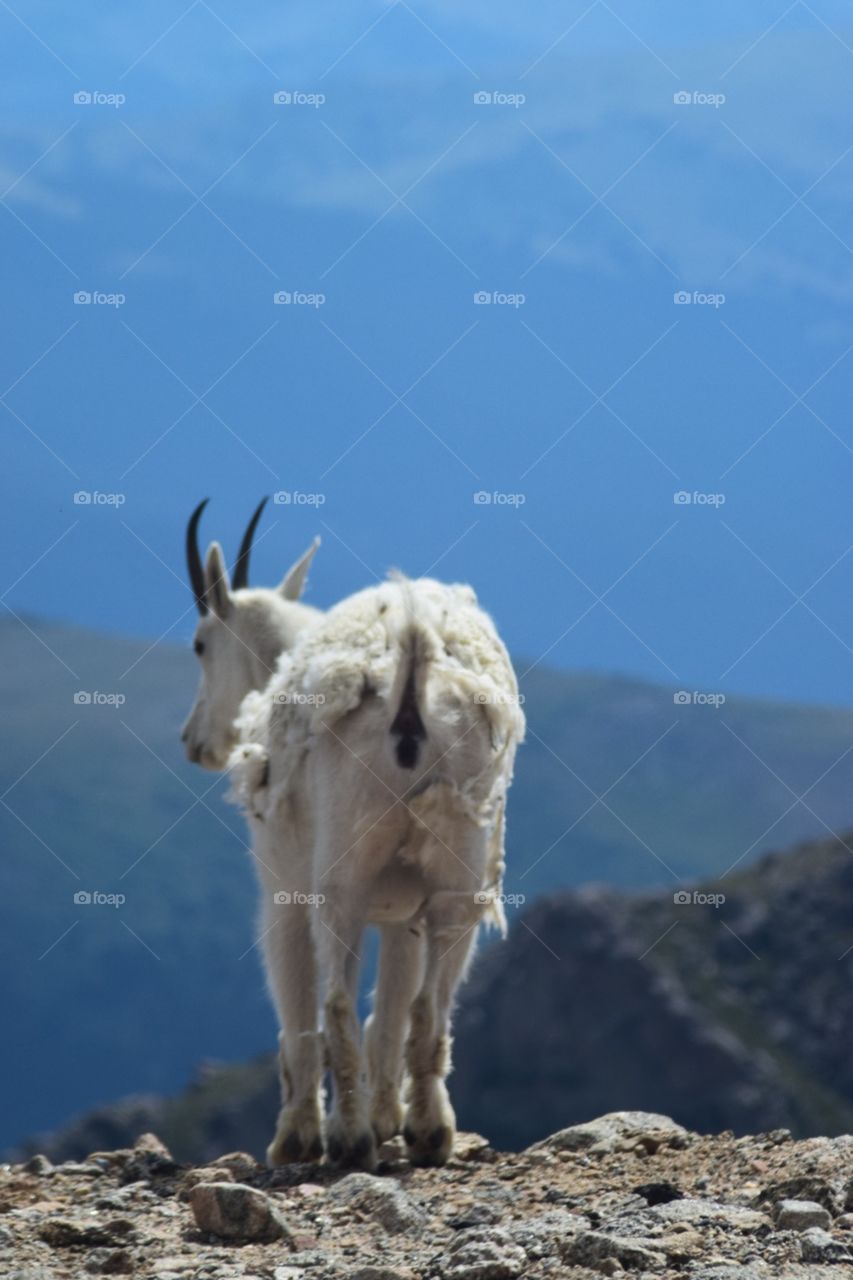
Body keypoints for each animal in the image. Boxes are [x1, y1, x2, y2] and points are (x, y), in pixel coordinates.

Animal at [182, 503, 525, 1171]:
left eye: (200, 644)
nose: (194, 741)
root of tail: (410, 670)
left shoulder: (283, 892)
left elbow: (298, 1010)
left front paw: (295, 1137)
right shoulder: (401, 912)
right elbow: (389, 1012)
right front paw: (388, 1117)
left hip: (339, 877)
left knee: (336, 1005)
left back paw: (347, 1140)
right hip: (458, 876)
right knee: (430, 1008)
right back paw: (429, 1132)